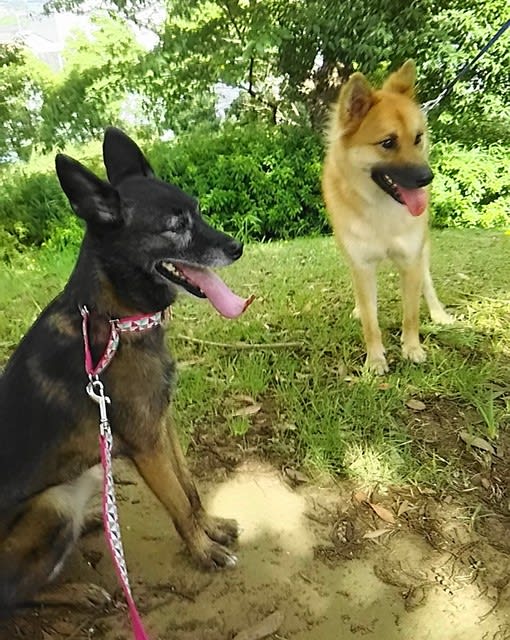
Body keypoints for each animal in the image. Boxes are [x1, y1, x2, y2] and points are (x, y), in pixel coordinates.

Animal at [0, 126, 251, 608]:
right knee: (13, 593)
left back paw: (93, 521)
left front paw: (209, 528)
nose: (237, 247)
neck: (116, 320)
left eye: (197, 210)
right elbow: (176, 501)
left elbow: (189, 487)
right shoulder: (146, 443)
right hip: (51, 504)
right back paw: (79, 591)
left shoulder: (162, 423)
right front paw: (203, 549)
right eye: (175, 226)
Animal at [324, 58, 452, 376]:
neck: (380, 208)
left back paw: (438, 313)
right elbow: (372, 322)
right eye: (387, 142)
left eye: (417, 138)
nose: (427, 178)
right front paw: (375, 359)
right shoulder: (361, 264)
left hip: (423, 251)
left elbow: (411, 314)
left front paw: (412, 348)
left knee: (427, 283)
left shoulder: (411, 259)